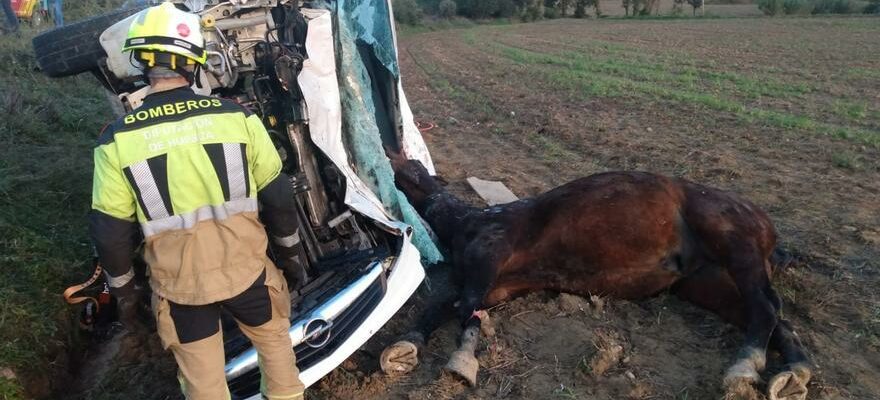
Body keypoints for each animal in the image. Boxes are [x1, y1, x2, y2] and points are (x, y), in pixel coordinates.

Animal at [382, 150, 808, 400]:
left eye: (409, 168)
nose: (388, 153)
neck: (467, 222)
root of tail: (765, 225)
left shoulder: (487, 264)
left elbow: (464, 311)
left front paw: (461, 362)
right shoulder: (496, 288)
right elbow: (441, 307)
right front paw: (406, 346)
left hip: (736, 247)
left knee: (766, 308)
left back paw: (745, 367)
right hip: (709, 284)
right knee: (773, 320)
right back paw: (792, 374)